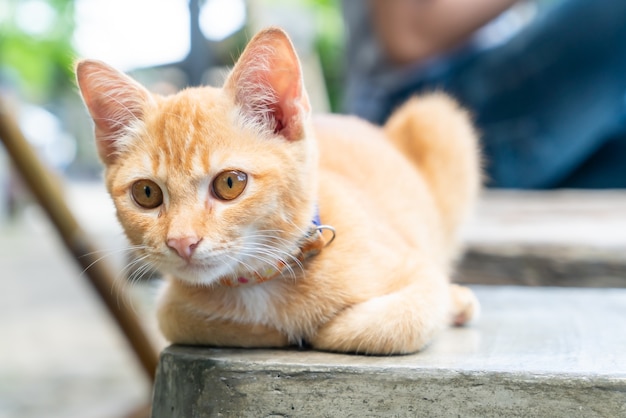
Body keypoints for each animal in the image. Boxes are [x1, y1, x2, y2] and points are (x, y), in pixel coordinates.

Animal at [75, 27, 480, 352]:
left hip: (435, 117)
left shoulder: (419, 270)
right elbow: (178, 316)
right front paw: (271, 331)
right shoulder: (171, 303)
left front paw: (325, 330)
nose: (181, 242)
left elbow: (400, 320)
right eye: (146, 194)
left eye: (230, 183)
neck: (261, 281)